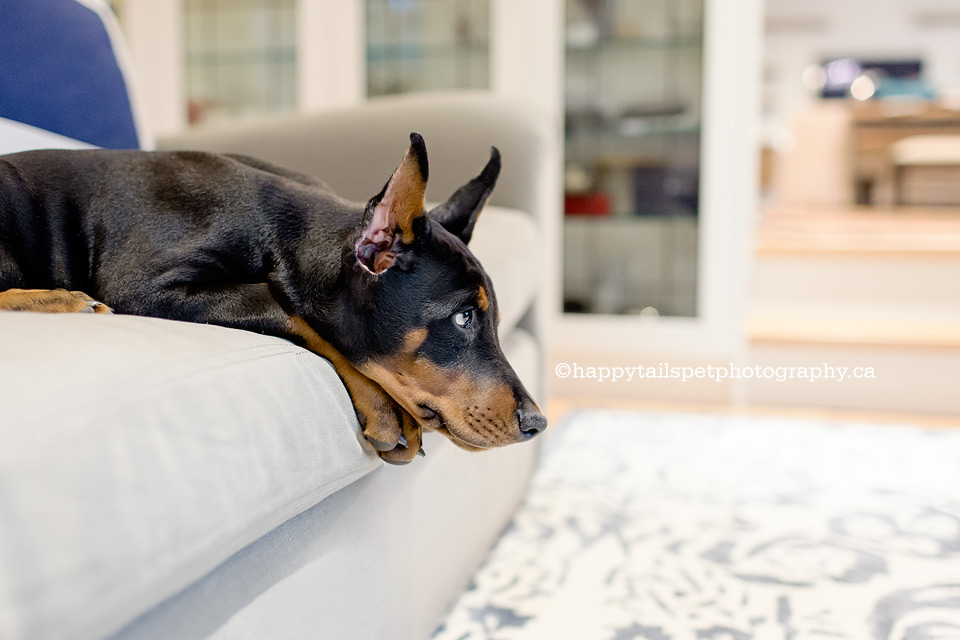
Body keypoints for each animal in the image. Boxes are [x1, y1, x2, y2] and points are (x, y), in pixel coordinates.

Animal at [0, 136, 548, 464]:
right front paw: (385, 406)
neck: (282, 229)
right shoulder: (144, 283)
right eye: (463, 317)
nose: (538, 423)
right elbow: (289, 309)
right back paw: (60, 299)